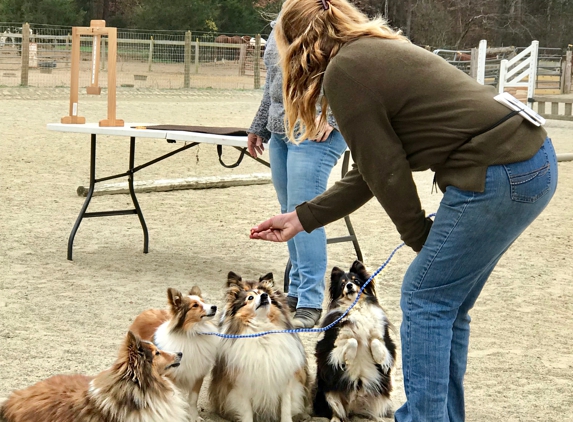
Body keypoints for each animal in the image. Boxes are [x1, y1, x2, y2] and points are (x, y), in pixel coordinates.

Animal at [129, 286, 219, 420]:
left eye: (204, 301)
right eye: (195, 305)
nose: (214, 307)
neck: (191, 334)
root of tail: (145, 312)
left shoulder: (198, 375)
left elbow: (192, 400)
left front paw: (194, 417)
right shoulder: (172, 377)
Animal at [209, 272, 310, 420]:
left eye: (263, 293)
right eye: (250, 297)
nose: (264, 296)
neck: (262, 332)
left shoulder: (285, 380)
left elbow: (285, 409)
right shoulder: (242, 385)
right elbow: (247, 413)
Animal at [312, 260, 394, 422]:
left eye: (356, 281)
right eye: (343, 284)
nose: (349, 286)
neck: (356, 305)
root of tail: (354, 405)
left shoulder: (386, 341)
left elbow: (375, 341)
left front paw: (378, 357)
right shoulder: (328, 347)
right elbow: (351, 341)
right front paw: (348, 358)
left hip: (382, 396)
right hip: (328, 391)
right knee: (337, 411)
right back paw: (336, 419)